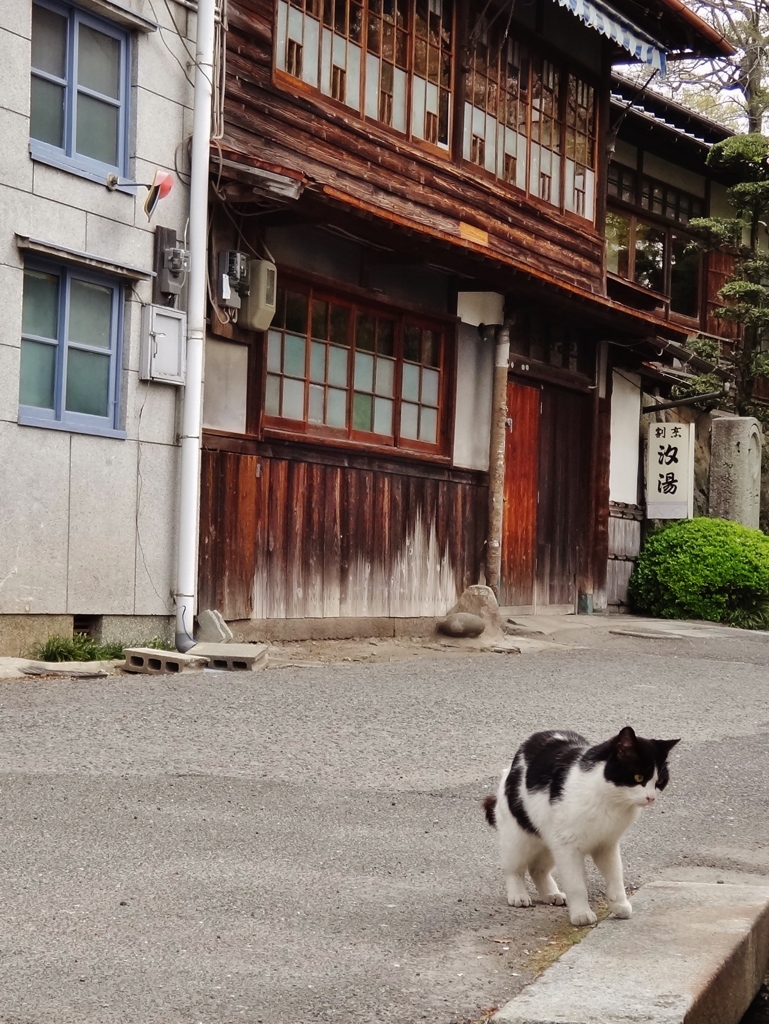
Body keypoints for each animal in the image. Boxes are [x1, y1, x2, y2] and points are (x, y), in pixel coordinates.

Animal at [483, 729, 684, 929]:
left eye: (660, 781)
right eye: (638, 777)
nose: (651, 798)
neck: (612, 802)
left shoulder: (607, 845)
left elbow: (616, 877)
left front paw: (620, 905)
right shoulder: (567, 847)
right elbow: (576, 885)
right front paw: (581, 914)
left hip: (548, 842)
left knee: (537, 869)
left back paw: (551, 894)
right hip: (519, 837)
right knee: (514, 868)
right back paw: (518, 895)